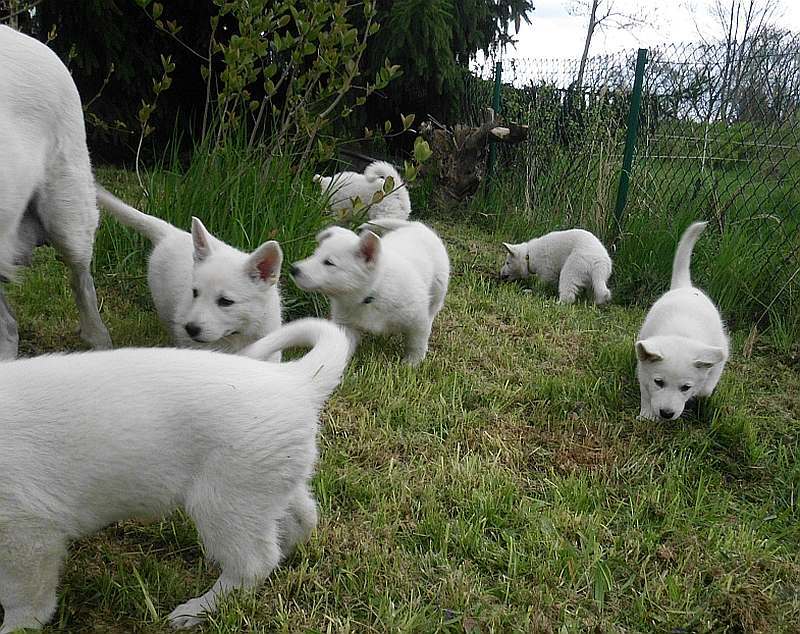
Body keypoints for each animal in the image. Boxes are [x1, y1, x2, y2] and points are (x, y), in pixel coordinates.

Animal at [0, 318, 350, 628]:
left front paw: (18, 625)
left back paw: (199, 610)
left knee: (253, 564)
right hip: (267, 484)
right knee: (301, 520)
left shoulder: (26, 535)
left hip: (225, 501)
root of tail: (294, 380)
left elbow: (22, 598)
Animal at [290, 218, 450, 362]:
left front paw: (412, 363)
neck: (372, 293)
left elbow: (416, 343)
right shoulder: (346, 325)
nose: (293, 269)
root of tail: (416, 225)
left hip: (438, 290)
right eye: (315, 254)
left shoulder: (418, 320)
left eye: (329, 263)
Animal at [636, 221, 728, 420]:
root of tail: (685, 286)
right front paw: (647, 414)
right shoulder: (644, 366)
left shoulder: (720, 353)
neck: (681, 334)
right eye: (659, 382)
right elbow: (646, 390)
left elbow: (706, 386)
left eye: (686, 387)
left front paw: (700, 392)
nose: (666, 414)